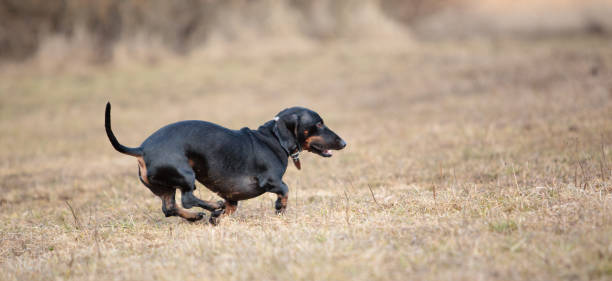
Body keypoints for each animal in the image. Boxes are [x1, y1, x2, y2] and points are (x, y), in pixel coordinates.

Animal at [104, 103, 344, 223]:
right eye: (319, 124)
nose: (344, 142)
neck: (274, 137)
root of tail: (141, 149)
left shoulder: (232, 194)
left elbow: (231, 207)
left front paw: (217, 218)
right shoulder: (271, 180)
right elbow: (285, 190)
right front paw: (279, 208)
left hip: (165, 187)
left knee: (169, 208)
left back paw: (196, 216)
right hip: (186, 175)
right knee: (188, 199)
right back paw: (211, 206)